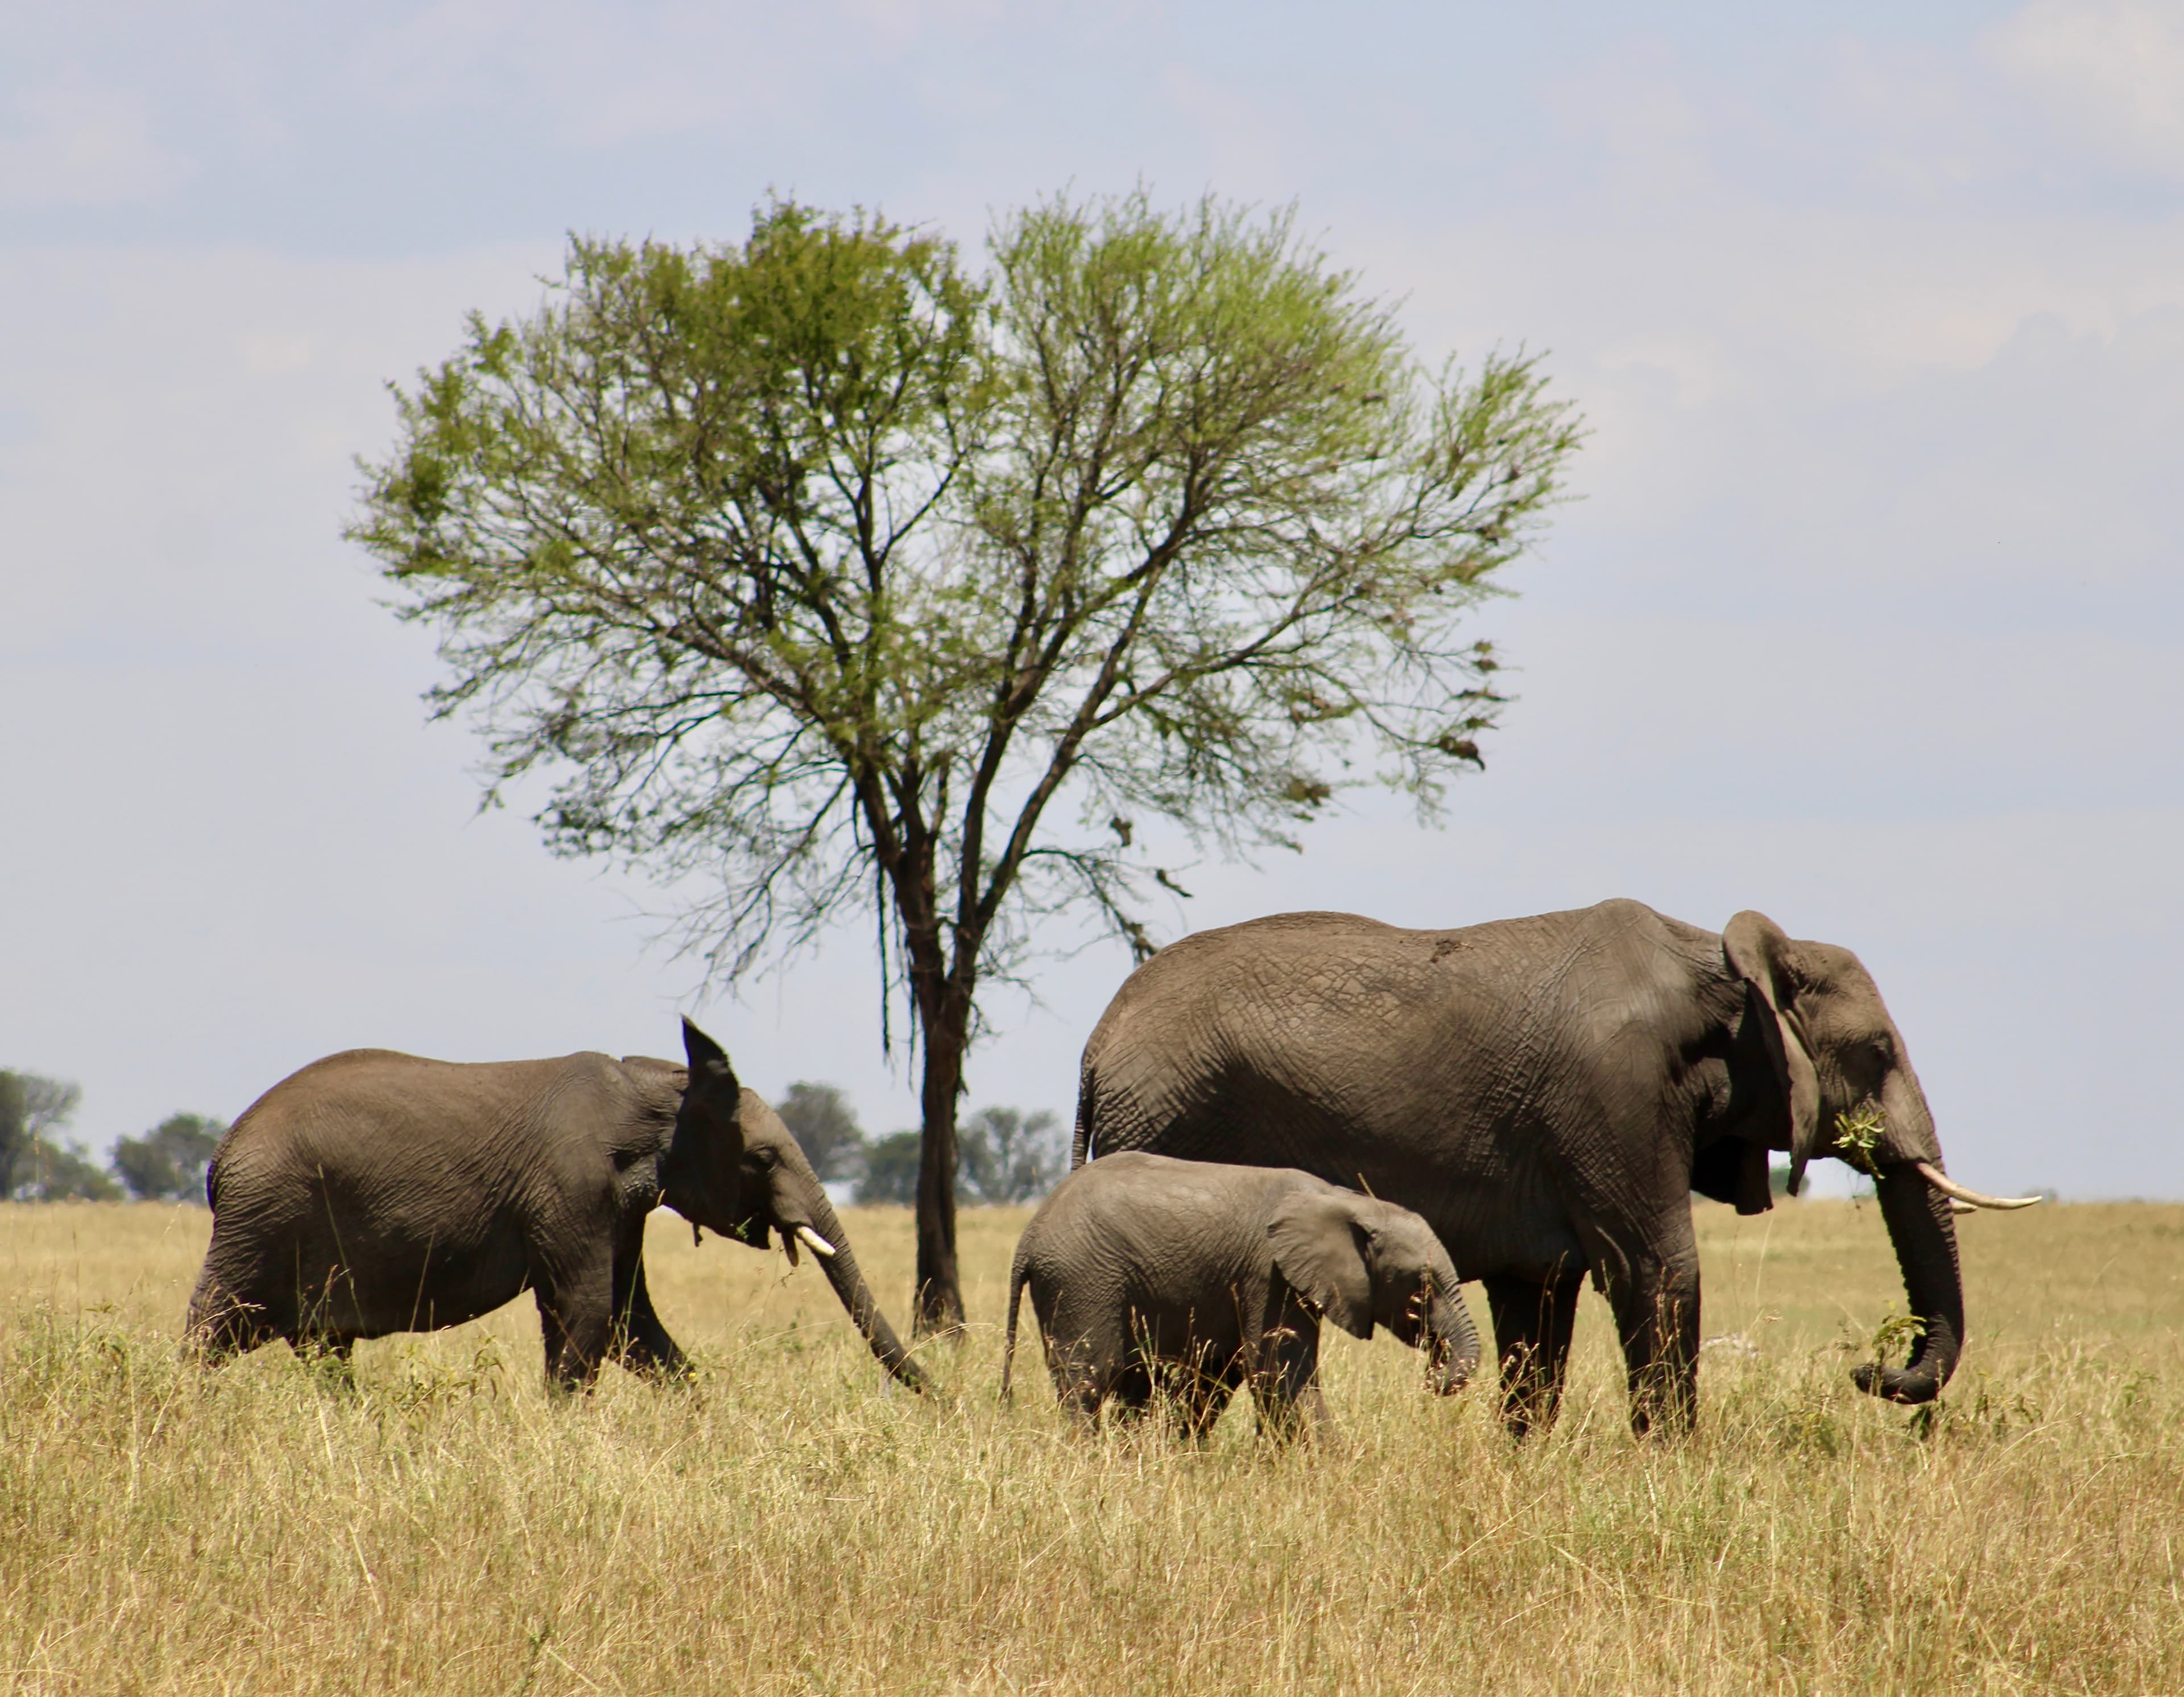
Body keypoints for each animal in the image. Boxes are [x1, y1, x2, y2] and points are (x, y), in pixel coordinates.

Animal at [185, 1019, 924, 1392]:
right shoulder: (572, 1191)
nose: (941, 1399)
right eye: (764, 1160)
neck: (655, 1087)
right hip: (263, 1218)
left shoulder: (619, 1211)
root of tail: (222, 1155)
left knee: (323, 1350)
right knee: (211, 1330)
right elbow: (588, 1312)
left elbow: (630, 1322)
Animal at [1002, 1152, 1481, 1438]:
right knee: (1090, 1378)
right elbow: (1278, 1373)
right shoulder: (1269, 1275)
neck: (1350, 1202)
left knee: (1129, 1383)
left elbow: (1219, 1374)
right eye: (1422, 1286)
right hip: (1081, 1282)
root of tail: (1029, 1235)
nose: (1432, 1373)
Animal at [1072, 901, 2040, 1438]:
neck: (1720, 966)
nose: (1869, 1372)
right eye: (1877, 1051)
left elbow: (1537, 1301)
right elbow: (1657, 1270)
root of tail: (1096, 1044)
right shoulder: (1615, 1096)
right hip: (1173, 1120)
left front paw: (1522, 1460)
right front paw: (1673, 1466)